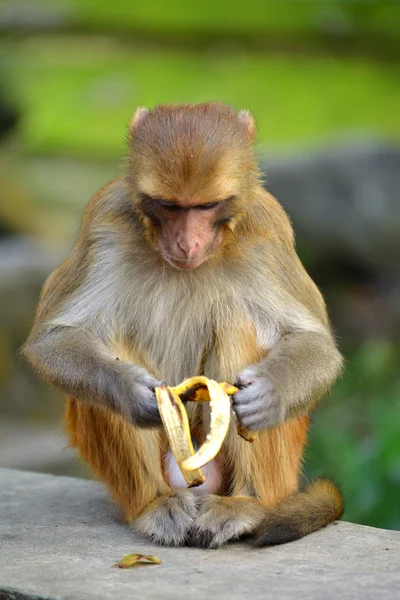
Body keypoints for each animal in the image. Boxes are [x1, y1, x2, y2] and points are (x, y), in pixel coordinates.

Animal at [23, 103, 344, 548]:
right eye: (170, 206)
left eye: (206, 206)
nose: (187, 244)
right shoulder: (104, 221)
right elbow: (53, 340)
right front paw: (130, 391)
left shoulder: (267, 230)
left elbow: (315, 345)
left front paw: (268, 394)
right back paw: (156, 503)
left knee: (239, 324)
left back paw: (245, 504)